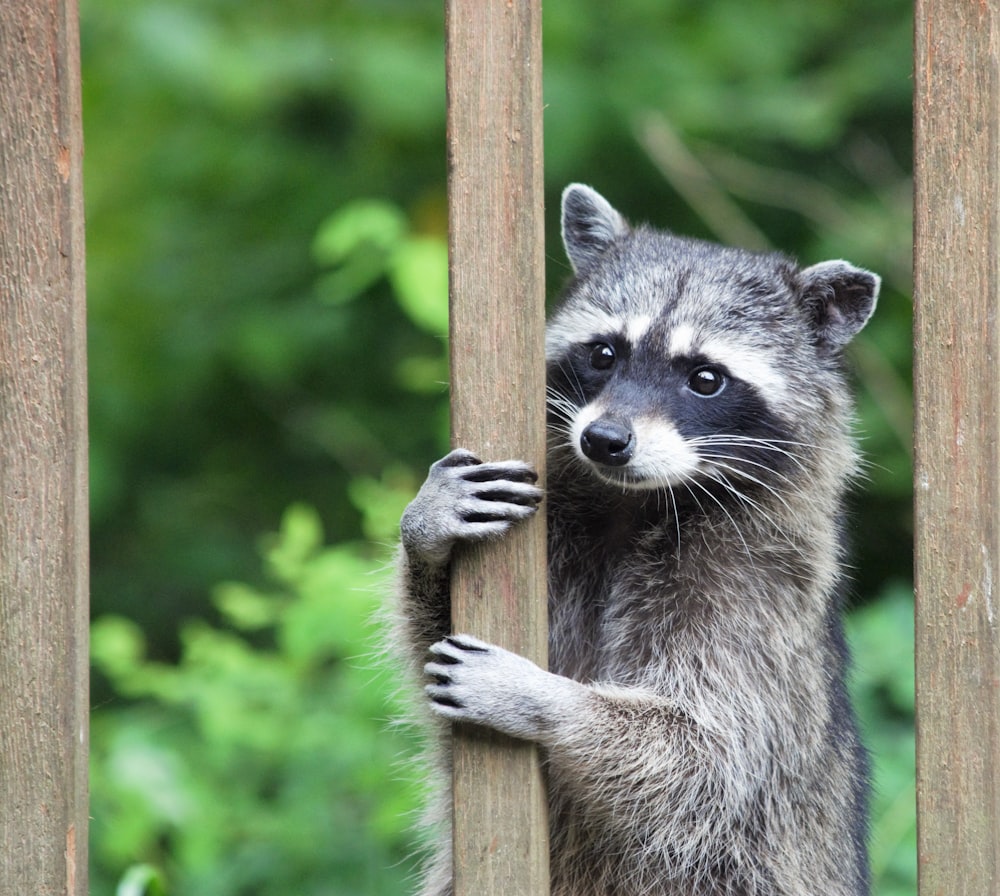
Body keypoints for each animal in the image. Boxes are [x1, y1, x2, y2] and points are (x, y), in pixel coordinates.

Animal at [394, 184, 880, 896]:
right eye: (604, 354)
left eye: (705, 377)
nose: (604, 440)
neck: (634, 501)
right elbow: (424, 648)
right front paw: (426, 533)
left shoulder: (756, 592)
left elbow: (706, 753)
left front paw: (545, 700)